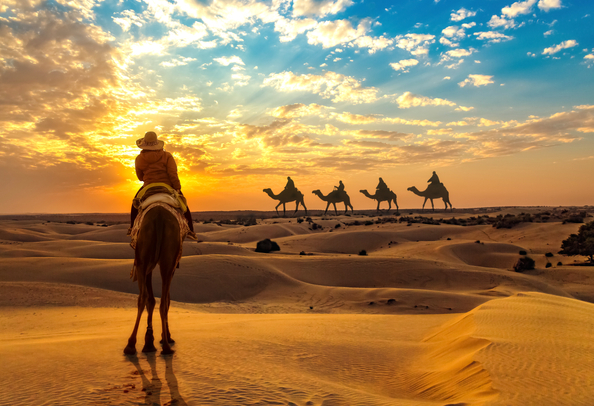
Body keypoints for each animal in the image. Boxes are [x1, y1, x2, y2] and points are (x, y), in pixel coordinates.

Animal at [123, 206, 179, 356]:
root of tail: (159, 218)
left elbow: (151, 299)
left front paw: (149, 341)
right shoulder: (169, 267)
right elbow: (159, 299)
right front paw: (156, 339)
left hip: (143, 259)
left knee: (143, 297)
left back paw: (131, 345)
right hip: (165, 260)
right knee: (162, 301)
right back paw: (166, 346)